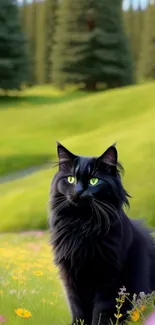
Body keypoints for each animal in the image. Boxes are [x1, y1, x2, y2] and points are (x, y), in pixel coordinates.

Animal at [49, 143, 155, 324]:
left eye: (94, 181)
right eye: (71, 179)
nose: (78, 191)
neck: (83, 225)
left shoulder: (109, 279)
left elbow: (101, 312)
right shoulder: (71, 276)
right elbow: (78, 309)